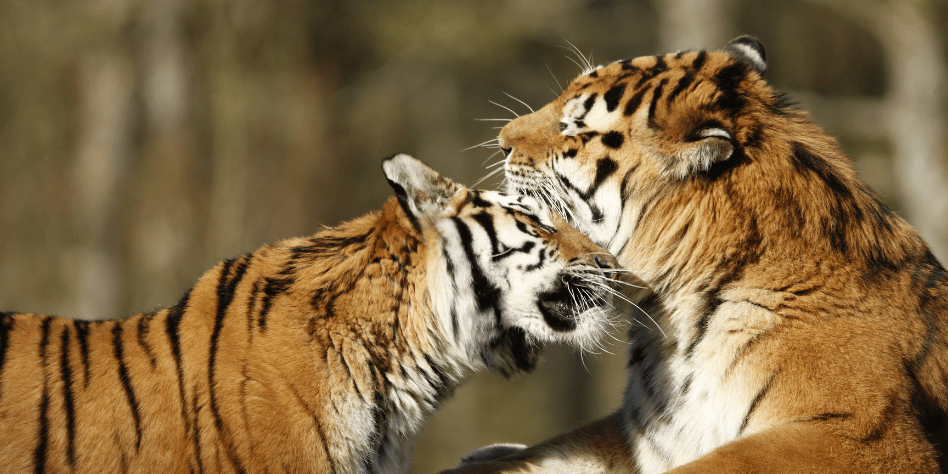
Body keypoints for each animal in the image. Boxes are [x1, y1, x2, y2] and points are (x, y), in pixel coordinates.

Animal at [442, 37, 948, 474]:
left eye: (574, 127)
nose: (502, 140)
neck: (669, 316)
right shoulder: (642, 432)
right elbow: (542, 452)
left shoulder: (864, 434)